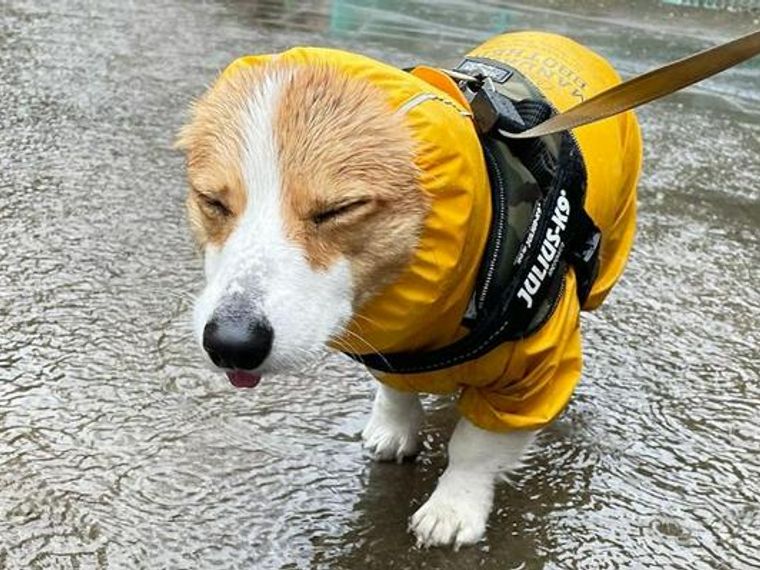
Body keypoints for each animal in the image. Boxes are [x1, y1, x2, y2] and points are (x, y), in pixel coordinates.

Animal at [177, 31, 640, 544]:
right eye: (212, 202)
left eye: (339, 210)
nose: (231, 345)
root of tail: (554, 37)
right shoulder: (392, 352)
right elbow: (397, 392)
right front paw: (395, 430)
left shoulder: (531, 374)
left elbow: (475, 447)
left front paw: (453, 509)